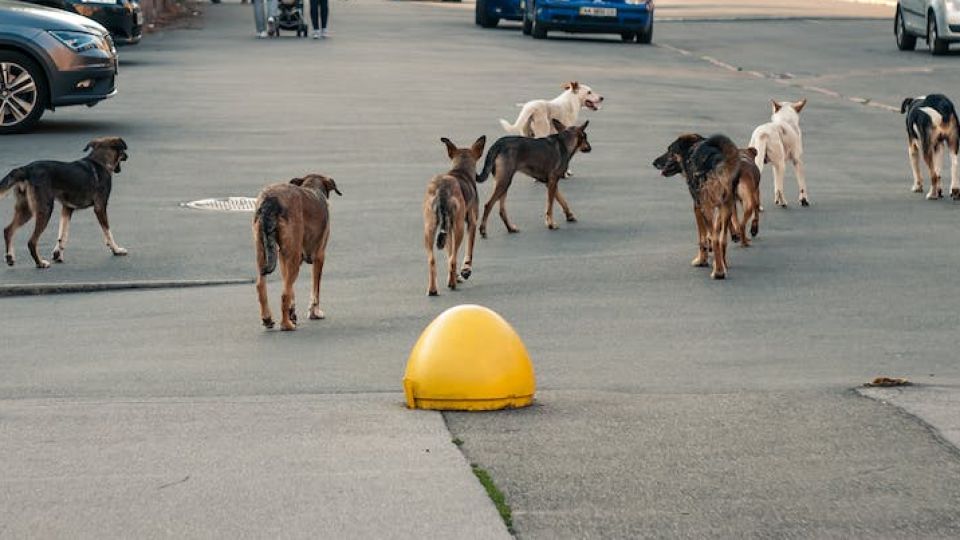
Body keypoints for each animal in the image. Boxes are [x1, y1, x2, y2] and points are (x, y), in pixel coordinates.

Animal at [0, 137, 128, 268]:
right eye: (123, 151)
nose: (127, 156)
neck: (100, 161)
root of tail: (26, 169)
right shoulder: (100, 207)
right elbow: (108, 232)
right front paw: (116, 250)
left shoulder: (67, 208)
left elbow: (62, 234)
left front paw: (58, 254)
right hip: (45, 210)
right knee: (31, 241)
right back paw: (40, 263)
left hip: (26, 210)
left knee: (7, 230)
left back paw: (9, 257)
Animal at [255, 175, 342, 332]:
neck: (312, 187)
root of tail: (271, 200)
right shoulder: (319, 256)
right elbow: (315, 290)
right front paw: (314, 313)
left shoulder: (283, 258)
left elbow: (291, 289)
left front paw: (292, 313)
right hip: (294, 257)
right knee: (284, 294)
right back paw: (286, 325)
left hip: (263, 251)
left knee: (261, 285)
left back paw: (267, 319)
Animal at [422, 134, 484, 296]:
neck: (460, 170)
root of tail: (442, 189)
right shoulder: (471, 223)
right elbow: (468, 250)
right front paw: (465, 270)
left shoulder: (448, 229)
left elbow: (449, 251)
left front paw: (455, 274)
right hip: (459, 228)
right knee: (453, 259)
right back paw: (452, 283)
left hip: (429, 229)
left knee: (433, 260)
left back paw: (433, 289)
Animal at [652, 133, 744, 280]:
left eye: (670, 150)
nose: (654, 162)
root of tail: (717, 159)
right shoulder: (720, 206)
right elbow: (715, 230)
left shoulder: (698, 206)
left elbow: (702, 238)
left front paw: (701, 260)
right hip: (726, 204)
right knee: (722, 239)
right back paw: (722, 265)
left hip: (706, 206)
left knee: (716, 239)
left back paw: (718, 271)